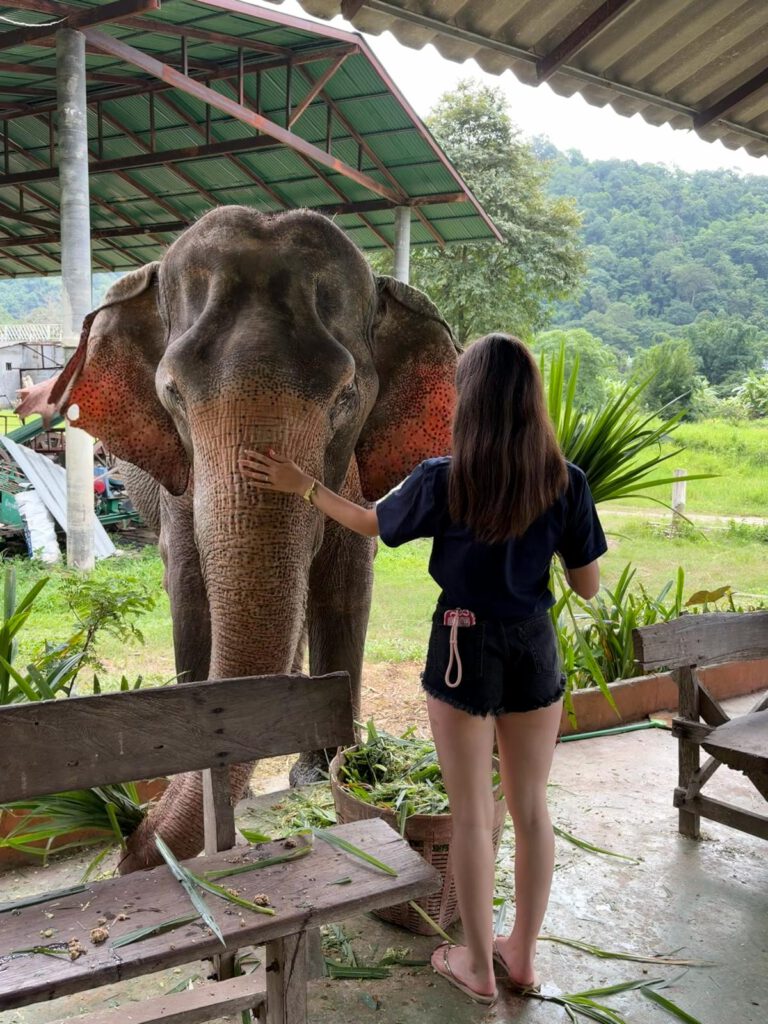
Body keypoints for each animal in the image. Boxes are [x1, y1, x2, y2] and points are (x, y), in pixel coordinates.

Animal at [19, 206, 459, 872]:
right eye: (172, 392)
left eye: (345, 398)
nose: (130, 839)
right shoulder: (178, 483)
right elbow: (189, 589)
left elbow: (345, 588)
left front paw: (324, 773)